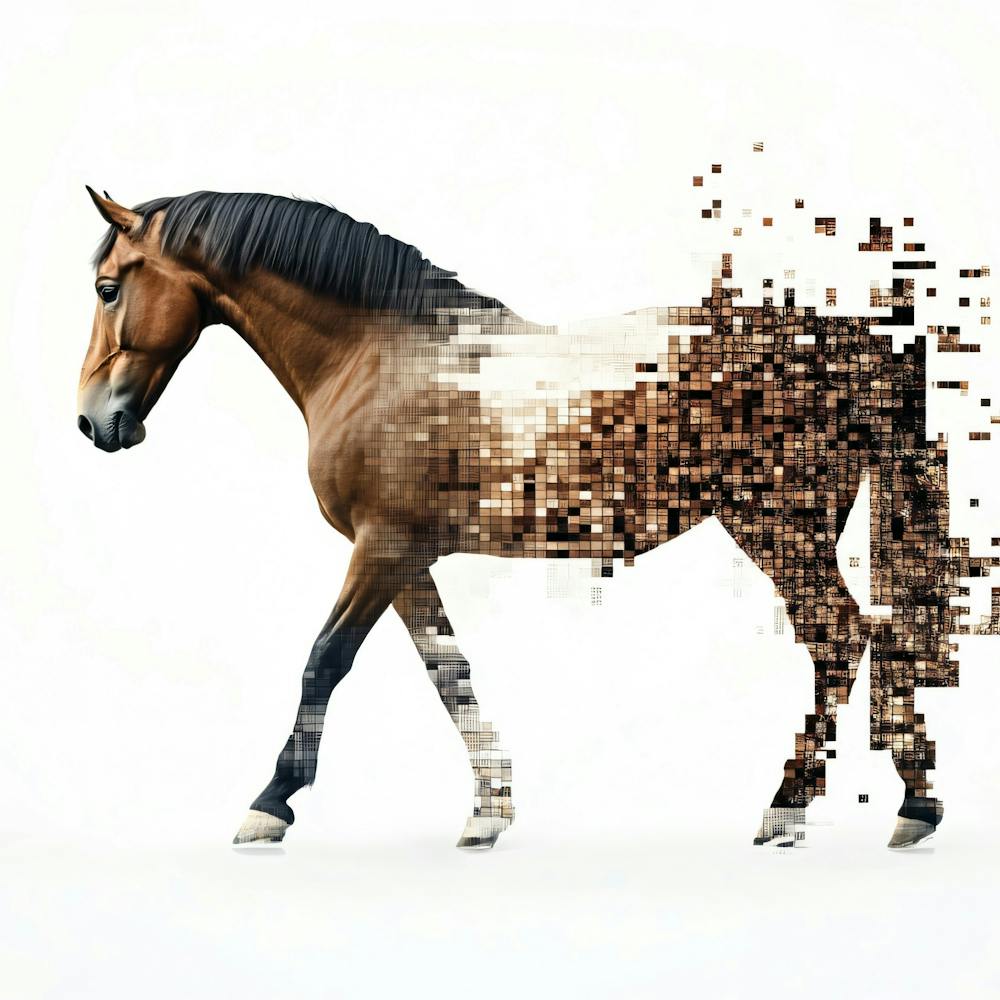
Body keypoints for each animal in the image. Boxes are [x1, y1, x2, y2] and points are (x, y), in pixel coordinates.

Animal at [77, 187, 971, 850]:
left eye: (107, 287)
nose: (94, 422)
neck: (380, 354)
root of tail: (855, 345)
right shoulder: (405, 557)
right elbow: (449, 670)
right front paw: (489, 810)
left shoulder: (379, 548)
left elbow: (324, 661)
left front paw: (270, 804)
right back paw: (913, 805)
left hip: (779, 528)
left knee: (840, 639)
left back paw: (798, 807)